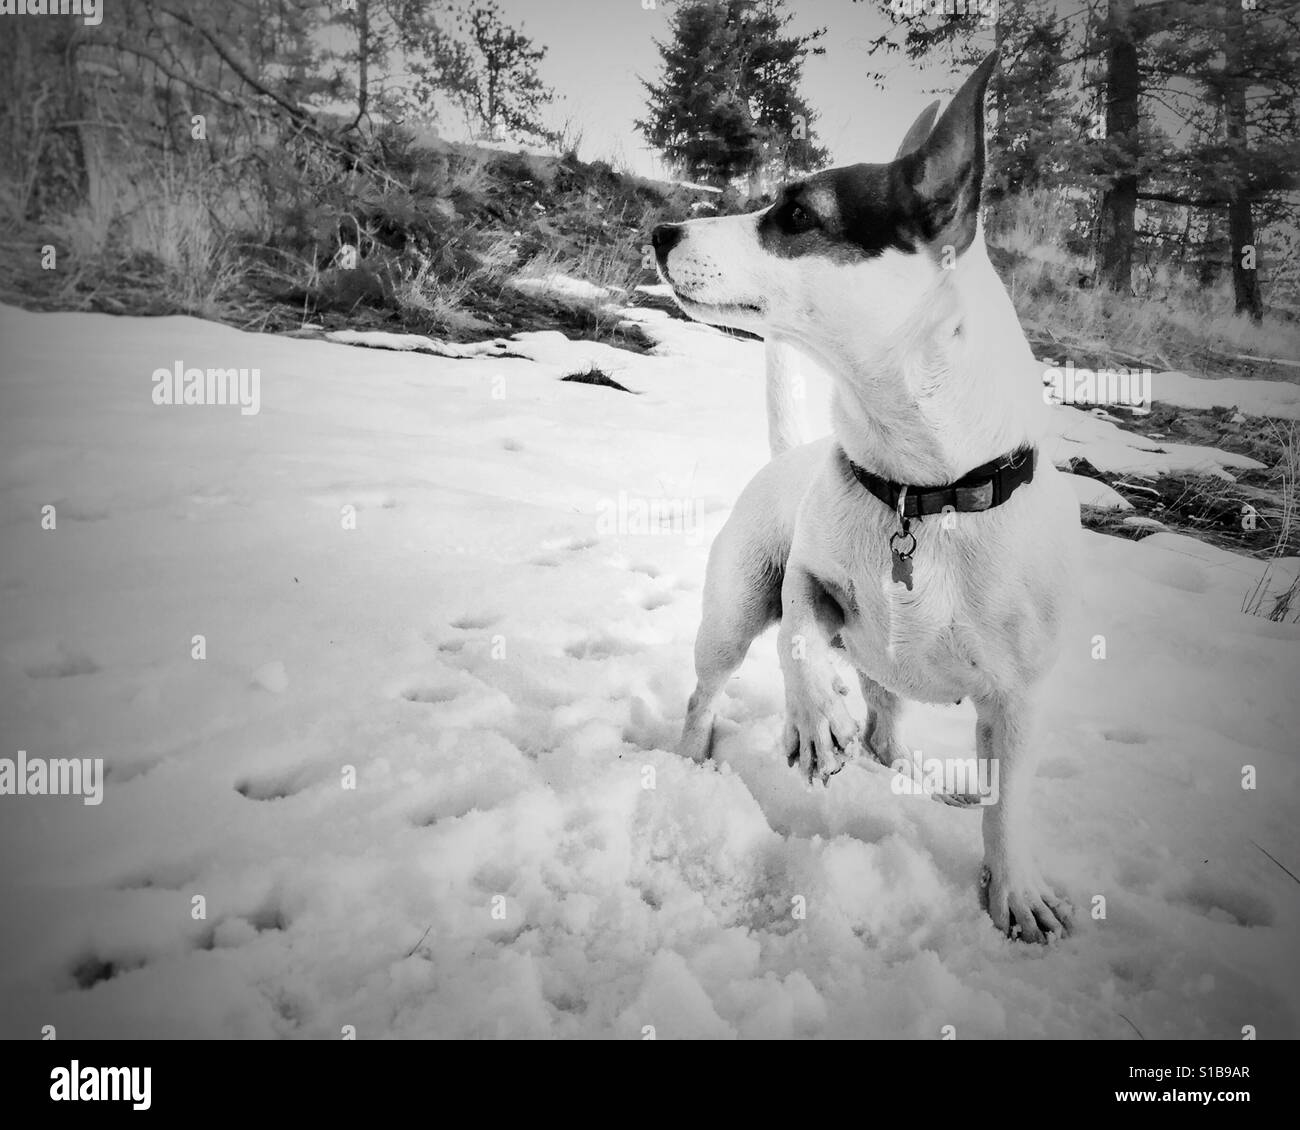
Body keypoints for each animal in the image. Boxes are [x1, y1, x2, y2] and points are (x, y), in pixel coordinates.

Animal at [655, 52, 1081, 941]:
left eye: (796, 214)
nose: (661, 232)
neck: (921, 489)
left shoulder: (1018, 702)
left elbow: (1008, 809)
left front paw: (1014, 891)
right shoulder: (806, 582)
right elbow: (800, 640)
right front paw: (816, 723)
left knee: (889, 717)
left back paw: (902, 765)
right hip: (732, 612)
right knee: (709, 690)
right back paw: (697, 758)